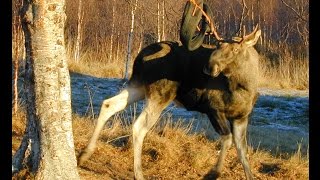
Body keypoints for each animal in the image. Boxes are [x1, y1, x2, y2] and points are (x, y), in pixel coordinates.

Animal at [79, 0, 262, 179]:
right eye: (217, 45)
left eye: (235, 49)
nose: (209, 67)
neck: (245, 88)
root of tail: (139, 57)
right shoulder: (213, 108)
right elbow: (228, 139)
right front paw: (212, 173)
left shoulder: (241, 117)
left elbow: (243, 151)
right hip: (161, 94)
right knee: (138, 127)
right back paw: (138, 173)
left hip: (139, 86)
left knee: (109, 104)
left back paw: (84, 155)